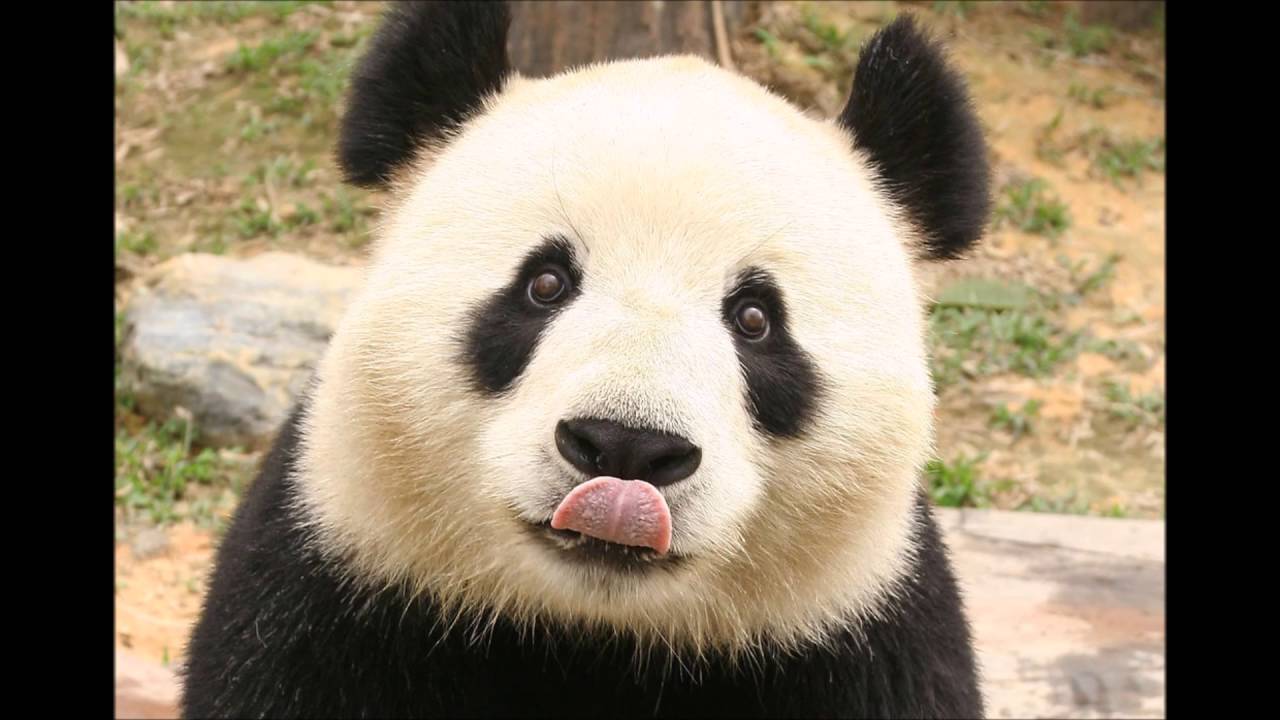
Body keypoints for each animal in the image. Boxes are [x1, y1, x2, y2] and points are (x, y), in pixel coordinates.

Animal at [181, 1, 991, 717]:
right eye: (545, 283)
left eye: (757, 319)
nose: (628, 446)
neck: (593, 634)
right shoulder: (341, 581)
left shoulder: (854, 633)